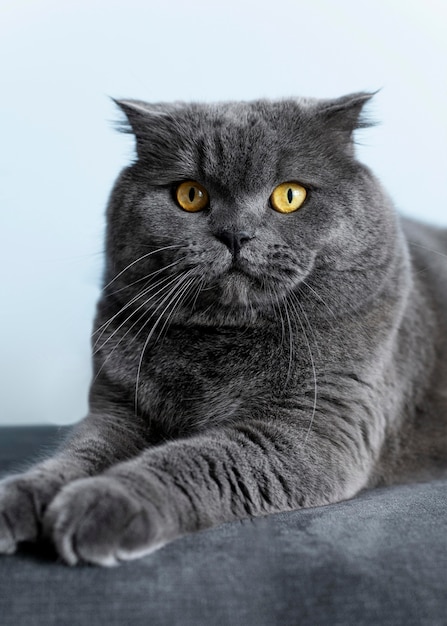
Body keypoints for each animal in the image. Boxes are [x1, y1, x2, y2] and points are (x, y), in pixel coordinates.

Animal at [0, 94, 447, 564]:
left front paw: (101, 503)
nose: (235, 234)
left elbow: (194, 459)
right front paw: (22, 496)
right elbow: (80, 452)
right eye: (190, 194)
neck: (224, 335)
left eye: (290, 195)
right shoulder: (117, 406)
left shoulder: (316, 425)